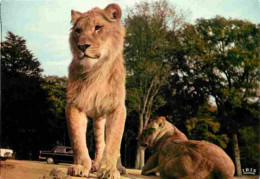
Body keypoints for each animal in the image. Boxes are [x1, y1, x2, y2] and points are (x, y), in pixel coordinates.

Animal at [65, 3, 126, 178]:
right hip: (98, 119)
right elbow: (78, 140)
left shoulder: (117, 107)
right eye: (78, 30)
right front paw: (80, 166)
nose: (82, 46)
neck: (95, 72)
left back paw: (119, 167)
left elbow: (113, 142)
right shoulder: (74, 104)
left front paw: (109, 169)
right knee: (100, 142)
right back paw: (95, 164)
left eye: (98, 27)